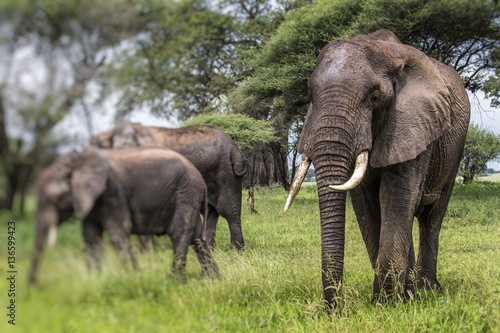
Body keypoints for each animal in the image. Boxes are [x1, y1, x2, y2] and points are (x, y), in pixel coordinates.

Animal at [28, 146, 218, 282]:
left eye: (55, 199)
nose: (34, 288)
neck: (77, 161)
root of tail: (200, 178)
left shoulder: (112, 192)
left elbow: (117, 233)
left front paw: (134, 279)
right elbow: (90, 236)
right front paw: (96, 281)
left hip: (185, 193)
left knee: (179, 232)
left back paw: (174, 281)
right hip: (189, 195)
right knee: (196, 237)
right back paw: (214, 279)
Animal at [91, 122, 249, 249]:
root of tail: (237, 150)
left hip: (226, 173)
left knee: (228, 210)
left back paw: (235, 250)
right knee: (211, 211)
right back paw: (210, 249)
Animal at [284, 29, 470, 304]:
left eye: (374, 97)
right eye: (309, 95)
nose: (335, 308)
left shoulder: (414, 123)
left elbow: (396, 195)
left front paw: (387, 302)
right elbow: (367, 205)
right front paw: (392, 298)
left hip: (454, 150)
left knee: (431, 217)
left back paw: (428, 290)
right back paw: (412, 289)